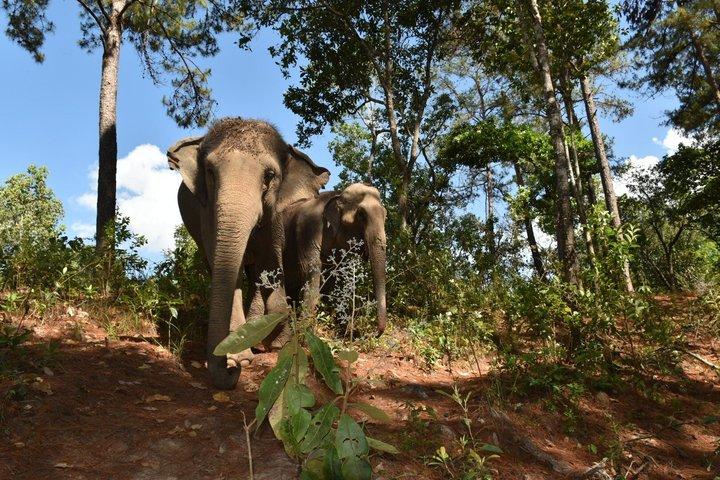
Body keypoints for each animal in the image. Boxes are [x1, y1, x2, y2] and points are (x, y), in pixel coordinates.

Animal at [167, 118, 330, 389]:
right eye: (209, 171)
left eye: (269, 175)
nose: (233, 370)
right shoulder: (206, 215)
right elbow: (226, 273)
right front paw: (240, 356)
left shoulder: (274, 219)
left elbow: (270, 267)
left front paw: (273, 341)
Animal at [277, 182, 388, 335]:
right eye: (361, 215)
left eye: (385, 215)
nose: (374, 333)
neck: (338, 195)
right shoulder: (308, 229)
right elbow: (311, 272)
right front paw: (304, 332)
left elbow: (335, 278)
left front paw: (344, 329)